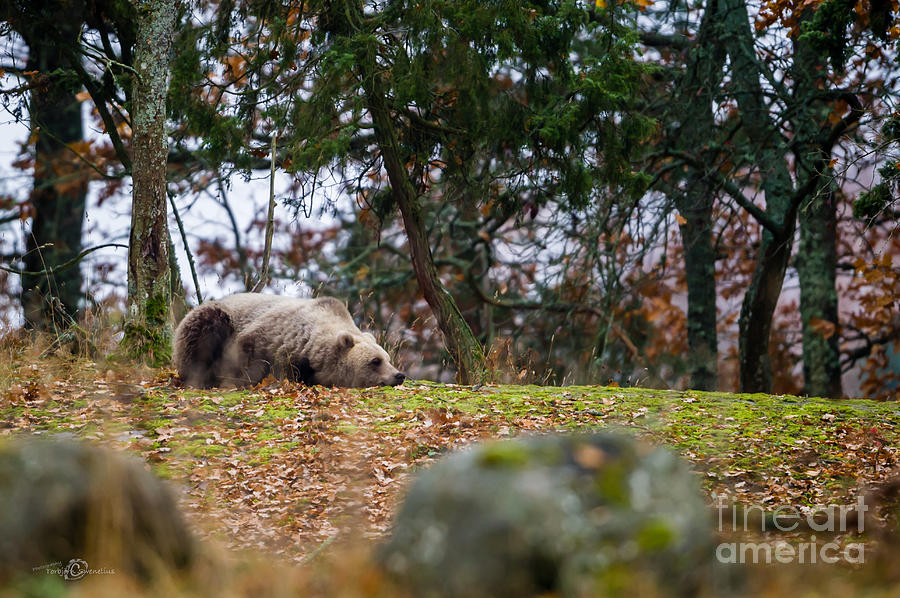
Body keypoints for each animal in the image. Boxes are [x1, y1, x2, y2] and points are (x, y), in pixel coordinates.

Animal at [172, 294, 404, 390]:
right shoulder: (266, 335)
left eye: (388, 358)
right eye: (375, 361)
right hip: (215, 317)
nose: (399, 375)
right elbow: (247, 361)